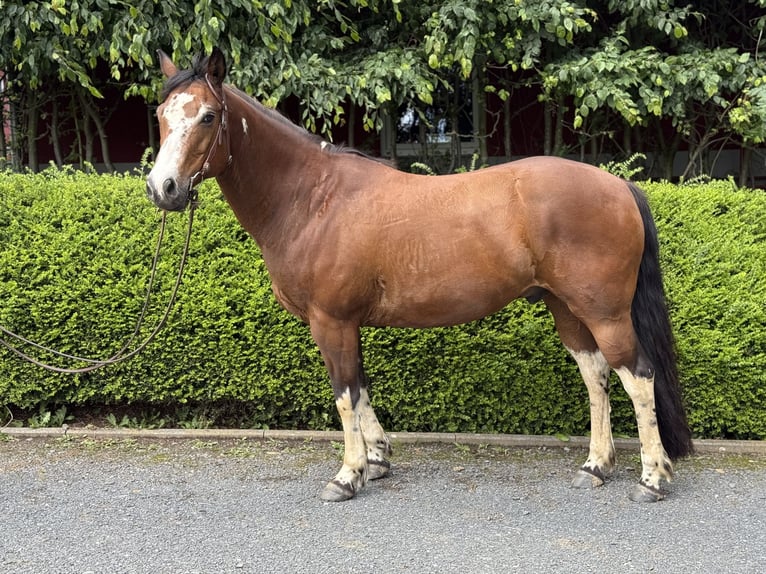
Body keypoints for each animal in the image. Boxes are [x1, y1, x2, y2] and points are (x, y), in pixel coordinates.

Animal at [146, 48, 693, 503]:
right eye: (160, 116)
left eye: (208, 116)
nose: (162, 188)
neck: (313, 198)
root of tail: (618, 185)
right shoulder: (348, 324)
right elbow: (360, 387)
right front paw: (376, 460)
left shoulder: (331, 321)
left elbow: (344, 394)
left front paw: (347, 476)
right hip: (568, 309)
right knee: (596, 376)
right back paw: (596, 467)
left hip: (605, 312)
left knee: (637, 378)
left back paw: (651, 479)